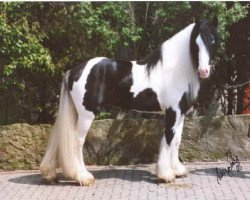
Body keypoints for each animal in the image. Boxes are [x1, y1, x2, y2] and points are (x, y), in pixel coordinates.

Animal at [40, 17, 219, 186]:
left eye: (213, 41)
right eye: (196, 43)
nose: (204, 71)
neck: (174, 71)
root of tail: (73, 71)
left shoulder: (180, 114)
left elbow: (176, 140)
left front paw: (178, 171)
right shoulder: (172, 112)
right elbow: (168, 140)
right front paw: (166, 175)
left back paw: (51, 175)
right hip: (86, 114)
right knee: (76, 143)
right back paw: (83, 177)